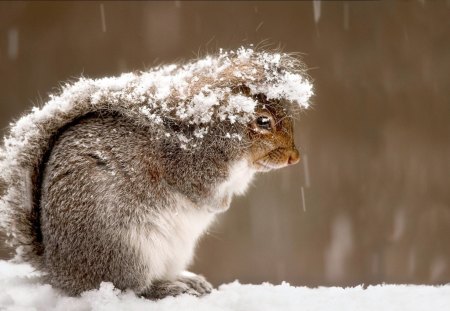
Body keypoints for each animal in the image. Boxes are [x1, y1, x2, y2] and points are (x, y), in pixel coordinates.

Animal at [0, 48, 312, 300]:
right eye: (263, 121)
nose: (294, 158)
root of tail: (60, 271)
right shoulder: (188, 168)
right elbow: (200, 193)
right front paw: (219, 206)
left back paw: (188, 280)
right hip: (127, 250)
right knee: (131, 287)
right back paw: (166, 288)